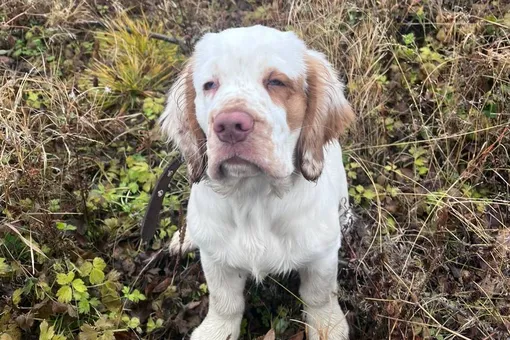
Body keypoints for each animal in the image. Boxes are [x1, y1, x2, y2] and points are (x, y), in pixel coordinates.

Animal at [159, 24, 354, 340]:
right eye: (209, 85)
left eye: (276, 81)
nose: (229, 125)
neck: (253, 194)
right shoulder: (216, 259)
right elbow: (224, 300)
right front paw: (216, 330)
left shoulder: (322, 255)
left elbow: (319, 294)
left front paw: (328, 327)